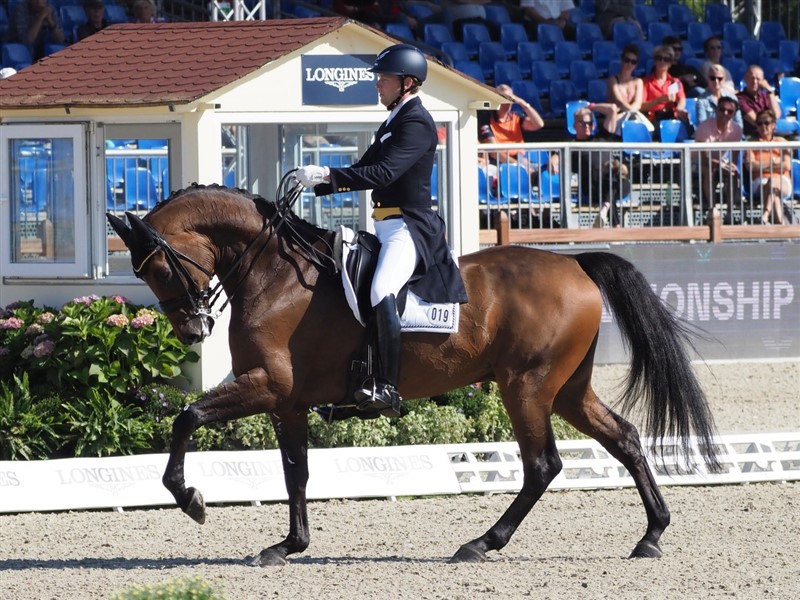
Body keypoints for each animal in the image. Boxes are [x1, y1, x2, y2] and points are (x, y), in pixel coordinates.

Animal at [103, 180, 720, 564]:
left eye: (158, 268)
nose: (193, 330)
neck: (274, 274)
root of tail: (575, 265)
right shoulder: (287, 402)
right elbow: (295, 473)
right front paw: (288, 546)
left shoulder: (267, 385)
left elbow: (187, 416)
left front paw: (189, 497)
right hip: (565, 389)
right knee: (625, 437)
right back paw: (651, 535)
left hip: (526, 386)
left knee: (543, 464)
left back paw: (482, 543)